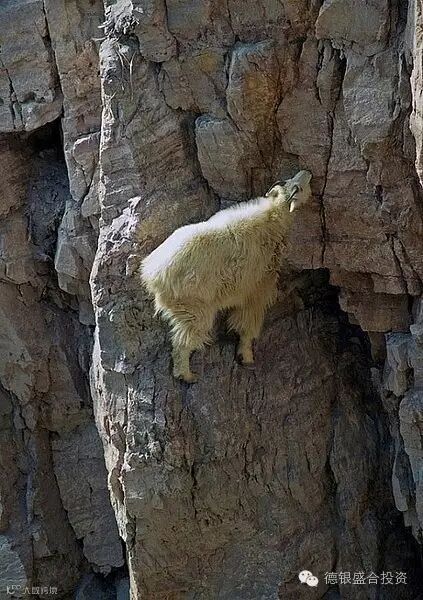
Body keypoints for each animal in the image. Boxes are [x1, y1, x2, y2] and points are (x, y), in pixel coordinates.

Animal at [141, 170, 313, 382]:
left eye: (291, 181)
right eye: (299, 188)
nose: (307, 172)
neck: (274, 217)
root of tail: (152, 274)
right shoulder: (258, 286)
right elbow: (248, 323)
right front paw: (246, 356)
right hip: (193, 303)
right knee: (186, 337)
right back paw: (187, 374)